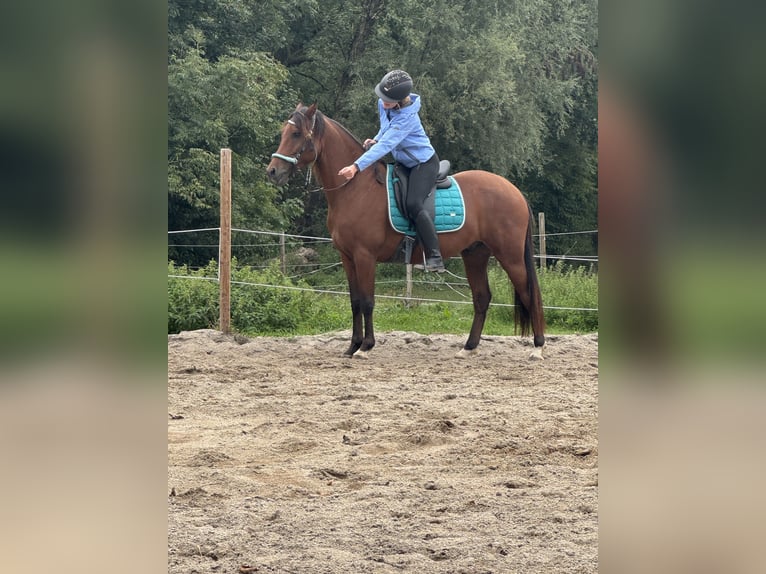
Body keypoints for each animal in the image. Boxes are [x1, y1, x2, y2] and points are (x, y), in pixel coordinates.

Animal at [266, 103, 545, 360]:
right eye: (283, 131)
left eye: (296, 134)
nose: (272, 171)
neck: (355, 188)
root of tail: (513, 190)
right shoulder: (347, 257)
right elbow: (355, 301)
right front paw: (352, 346)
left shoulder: (364, 256)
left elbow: (367, 301)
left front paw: (366, 347)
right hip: (475, 254)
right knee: (481, 297)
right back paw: (468, 347)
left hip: (509, 255)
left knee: (529, 293)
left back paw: (538, 347)